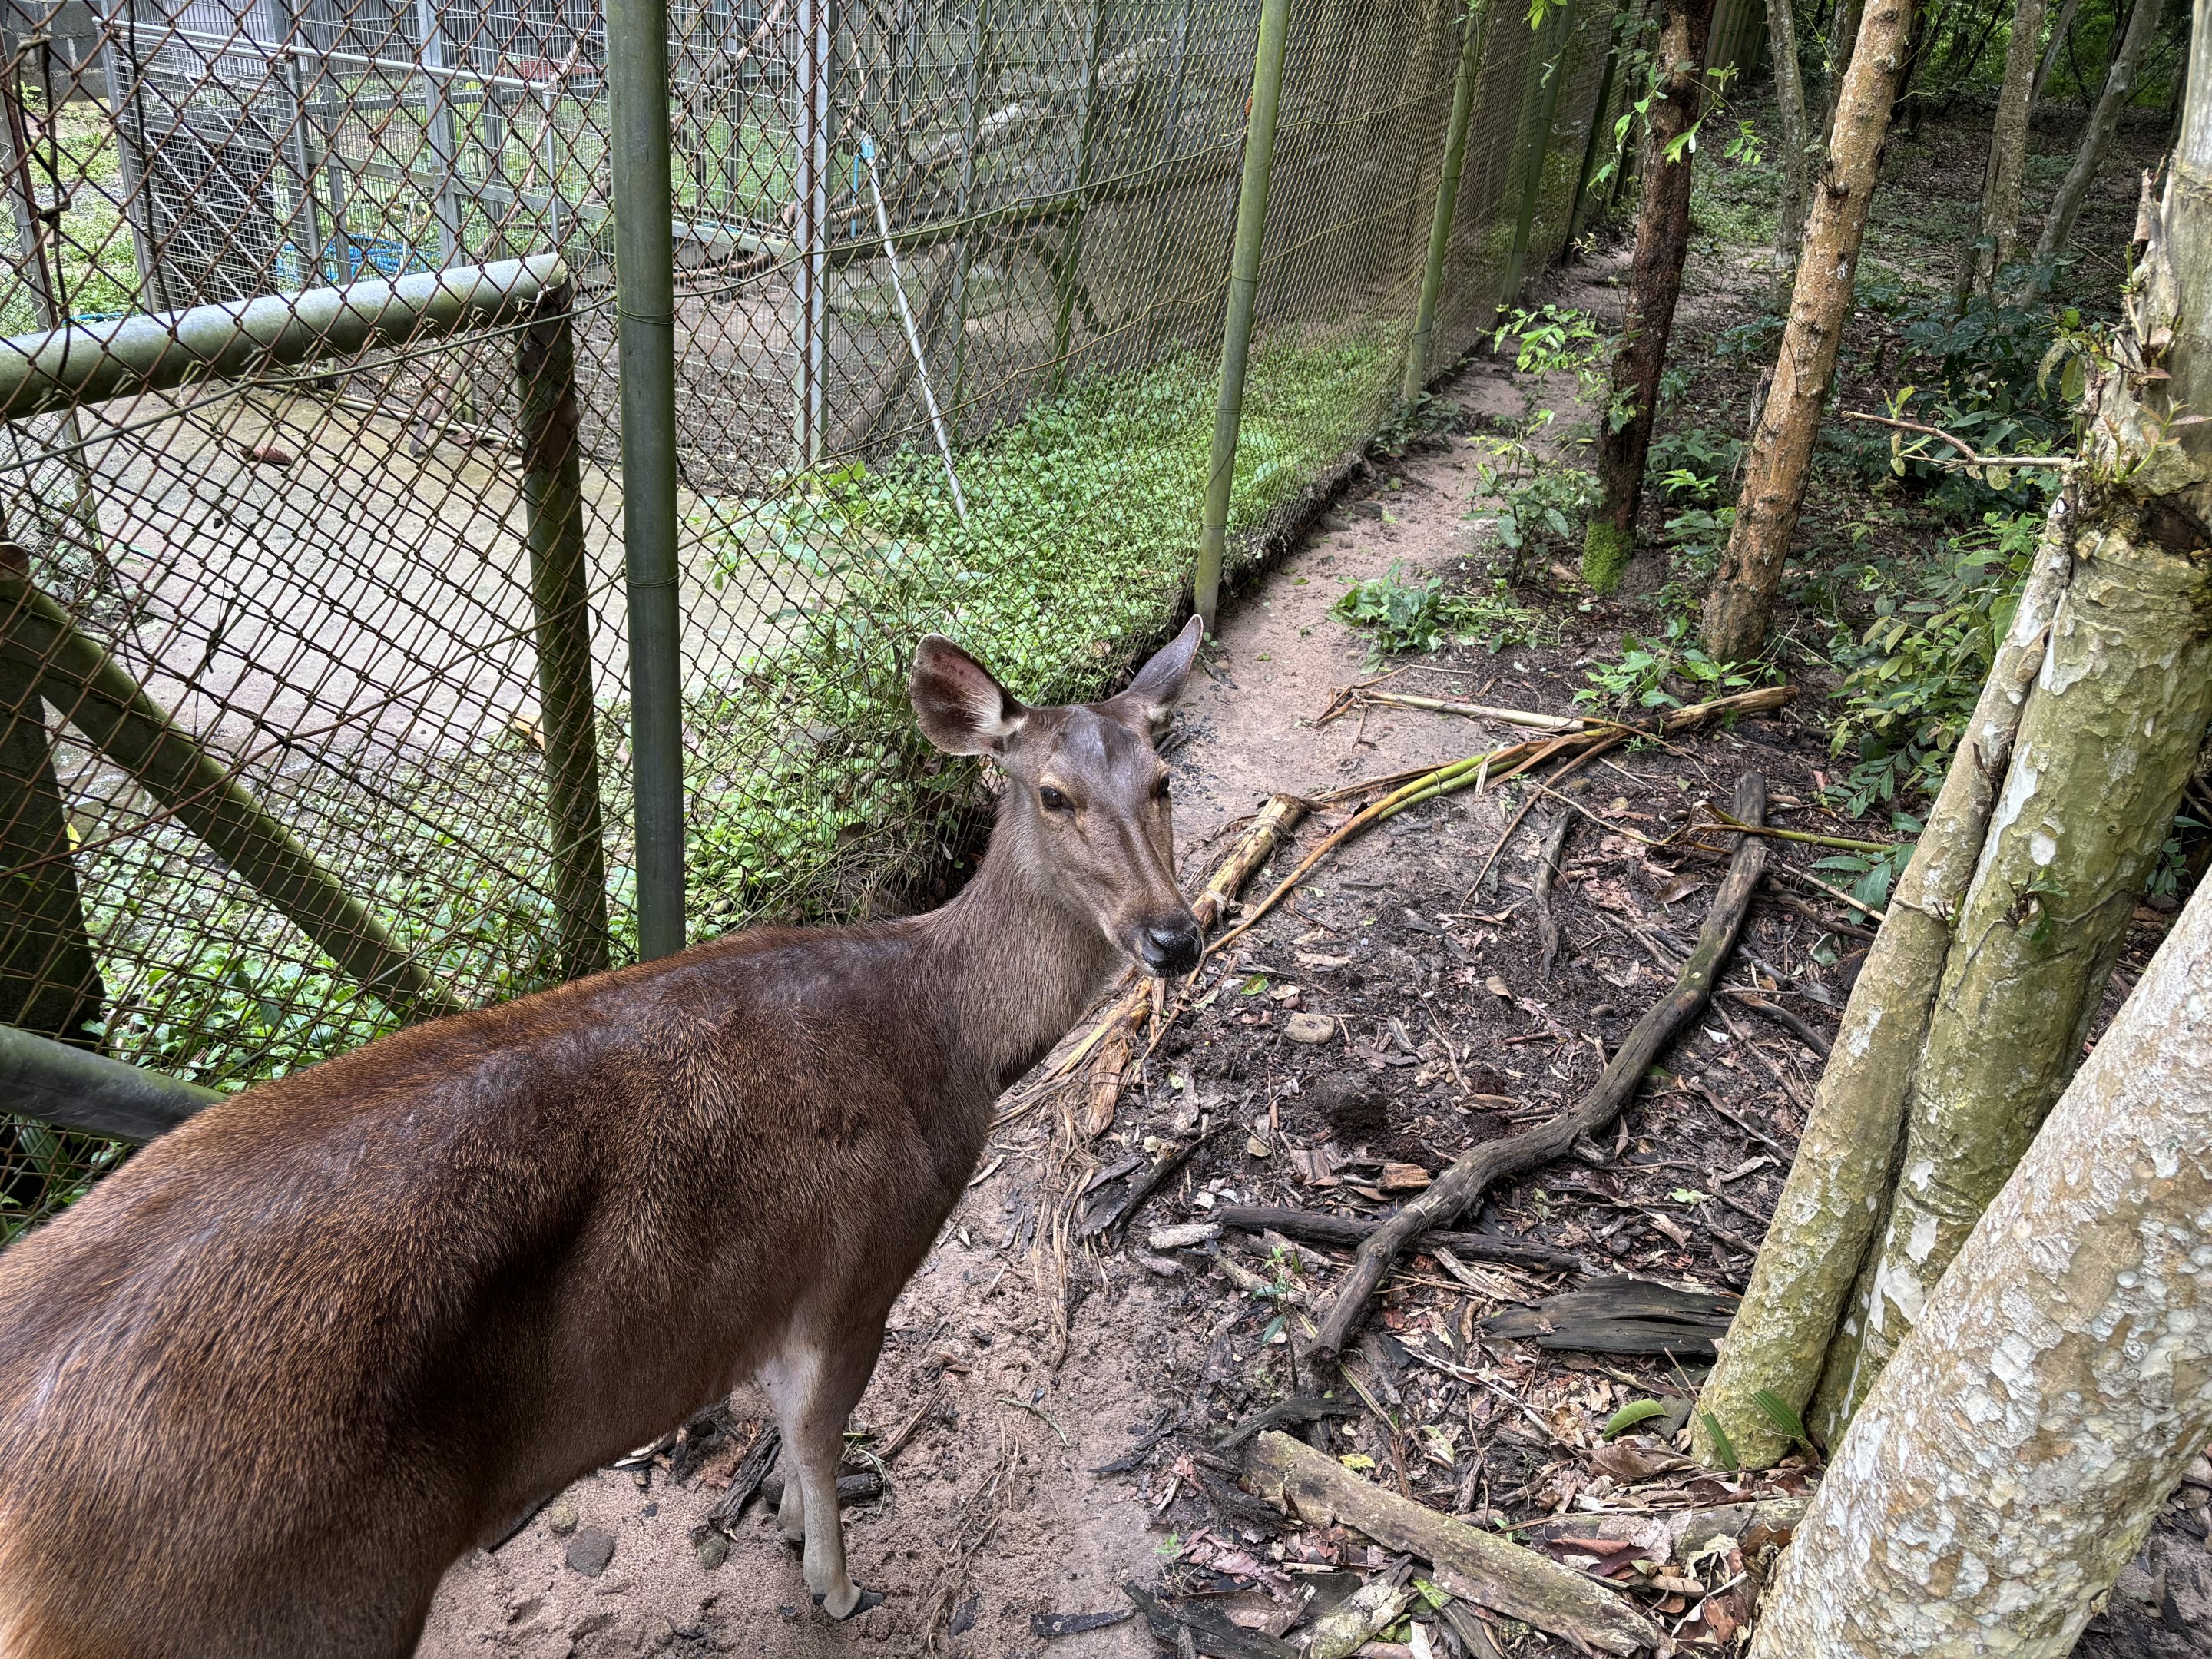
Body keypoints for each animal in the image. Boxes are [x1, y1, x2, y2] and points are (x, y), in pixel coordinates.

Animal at [0, 616, 1205, 1659]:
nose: (1174, 936)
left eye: (1162, 778)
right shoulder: (866, 1257)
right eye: (1051, 794)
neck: (956, 1038)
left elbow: (782, 1421)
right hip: (292, 1605)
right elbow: (818, 1429)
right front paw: (834, 1583)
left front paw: (780, 1527)